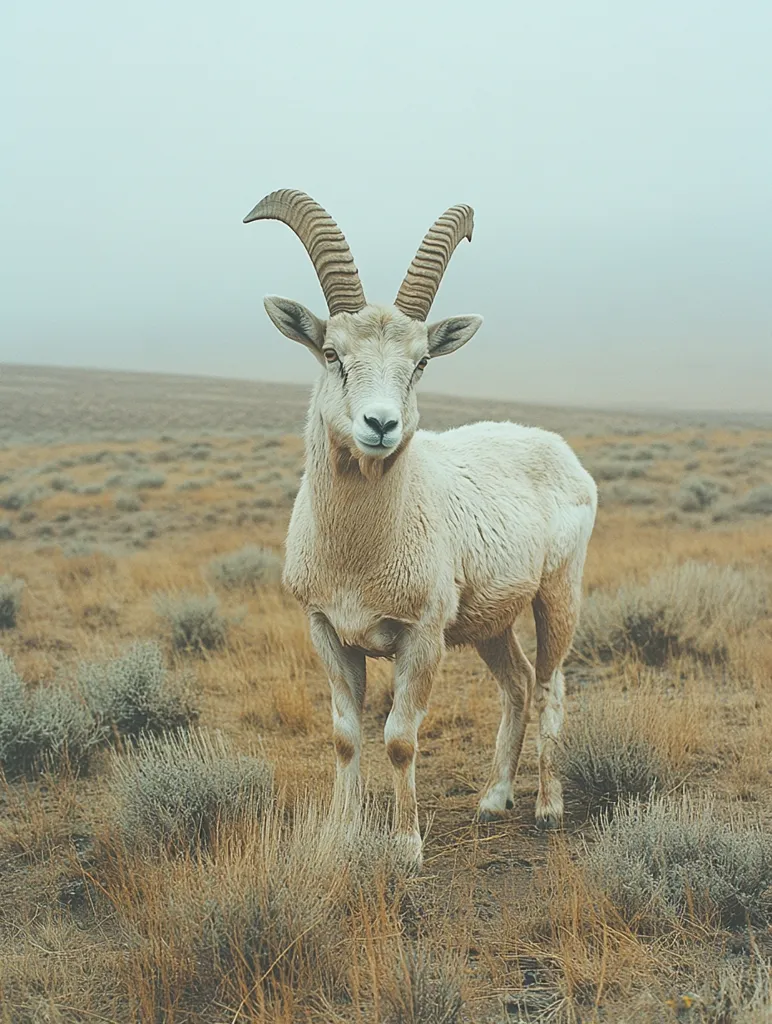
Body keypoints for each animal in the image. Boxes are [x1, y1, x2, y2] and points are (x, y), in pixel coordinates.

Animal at [244, 189, 597, 866]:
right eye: (333, 353)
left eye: (422, 361)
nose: (379, 425)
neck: (358, 553)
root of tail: (558, 450)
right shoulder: (327, 631)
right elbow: (346, 736)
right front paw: (338, 836)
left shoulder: (422, 638)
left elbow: (401, 739)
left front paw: (406, 847)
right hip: (491, 621)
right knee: (516, 684)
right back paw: (492, 800)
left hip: (557, 595)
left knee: (550, 685)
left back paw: (547, 808)